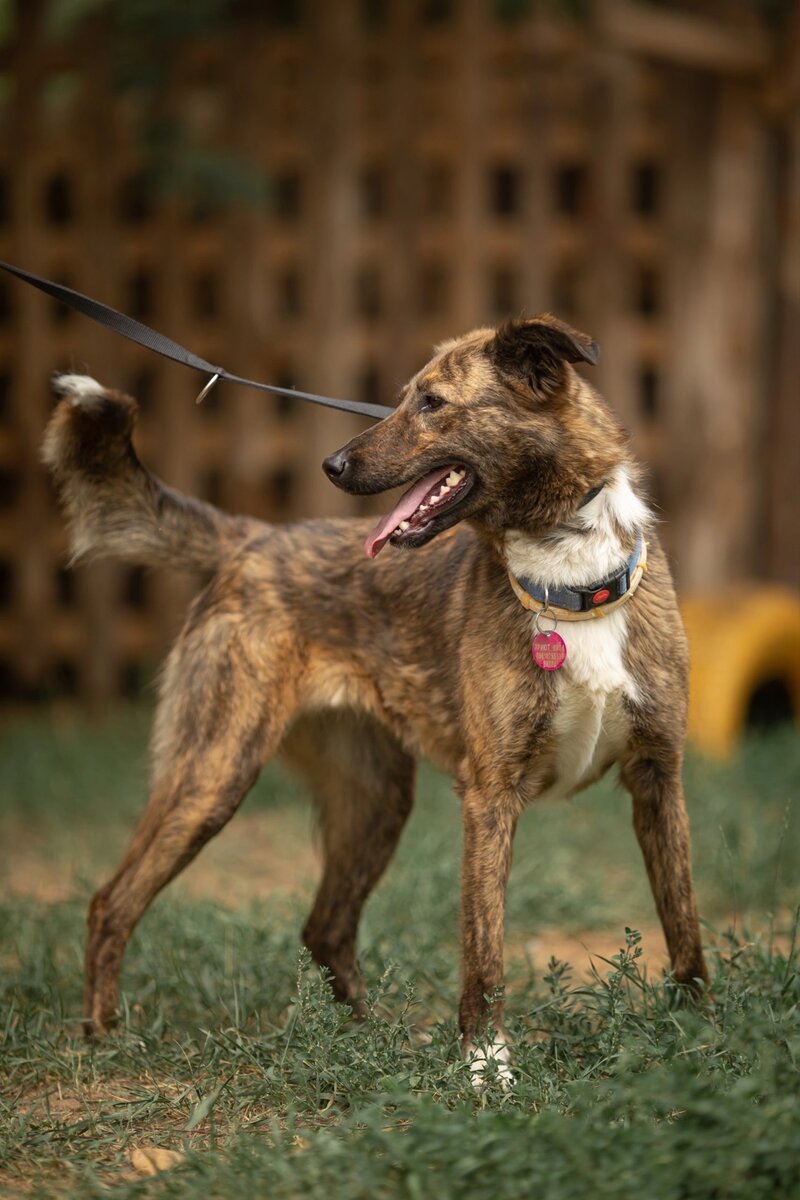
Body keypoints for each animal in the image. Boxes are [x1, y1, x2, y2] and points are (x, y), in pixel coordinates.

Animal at [42, 314, 705, 1075]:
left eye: (433, 403)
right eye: (400, 399)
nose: (330, 465)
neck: (570, 577)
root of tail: (252, 538)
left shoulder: (659, 776)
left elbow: (684, 922)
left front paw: (698, 1031)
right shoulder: (490, 797)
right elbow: (484, 948)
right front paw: (485, 1065)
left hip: (374, 797)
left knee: (324, 927)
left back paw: (363, 1039)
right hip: (213, 773)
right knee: (111, 902)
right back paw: (103, 1037)